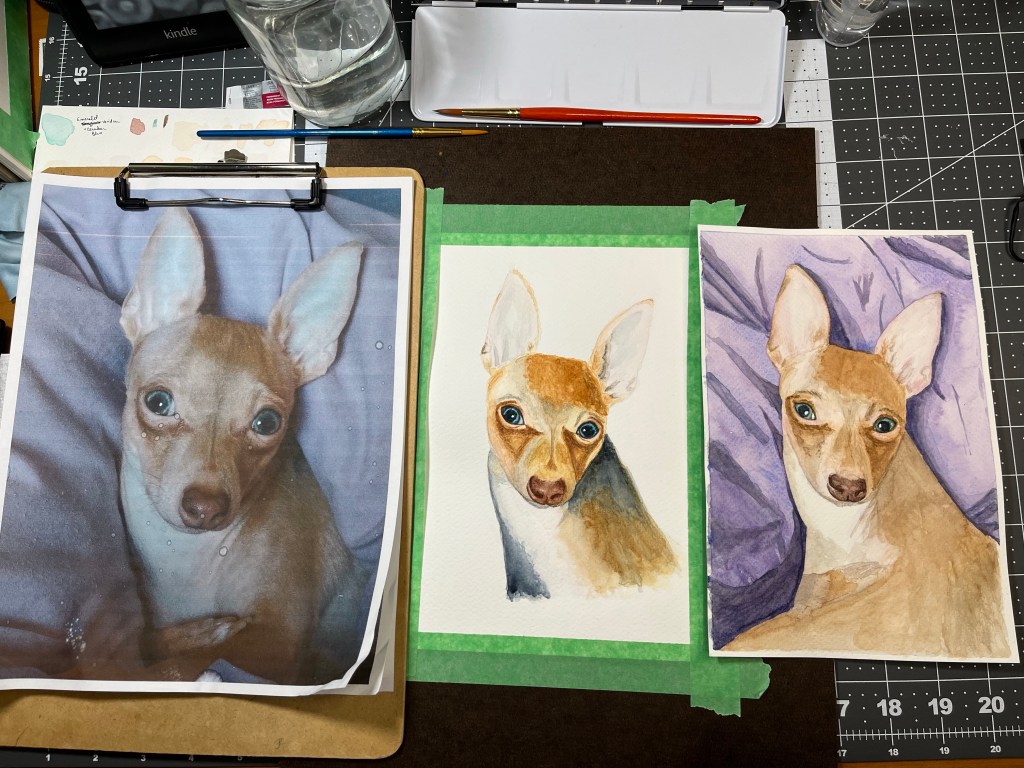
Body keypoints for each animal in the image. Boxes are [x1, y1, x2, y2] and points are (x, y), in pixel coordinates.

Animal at [117, 208, 366, 684]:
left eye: (266, 423)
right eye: (158, 402)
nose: (206, 506)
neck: (183, 560)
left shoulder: (276, 640)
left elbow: (185, 661)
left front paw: (200, 640)